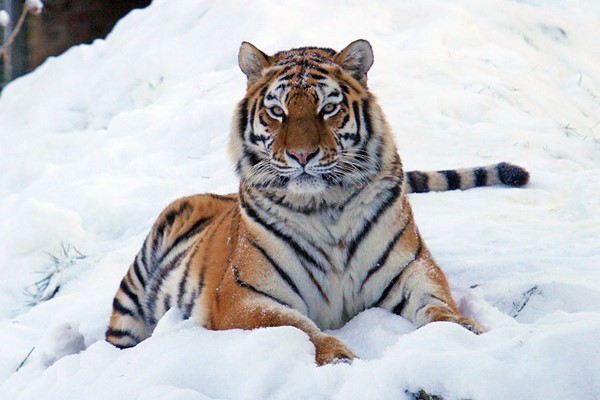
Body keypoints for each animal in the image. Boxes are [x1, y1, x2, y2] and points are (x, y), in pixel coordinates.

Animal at [105, 39, 528, 364]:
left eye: (328, 108)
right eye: (277, 111)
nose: (302, 155)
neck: (326, 208)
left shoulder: (412, 269)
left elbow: (440, 307)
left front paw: (465, 332)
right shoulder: (243, 296)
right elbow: (297, 327)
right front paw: (339, 357)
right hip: (136, 284)